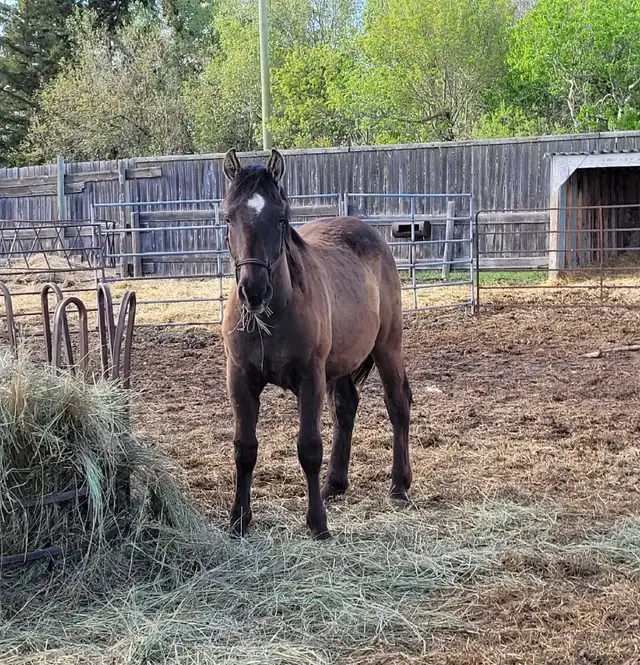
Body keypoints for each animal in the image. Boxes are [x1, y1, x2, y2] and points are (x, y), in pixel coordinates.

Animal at [221, 148, 412, 539]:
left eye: (281, 218)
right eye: (228, 217)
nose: (253, 291)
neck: (274, 317)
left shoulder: (310, 379)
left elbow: (309, 448)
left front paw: (318, 524)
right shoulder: (240, 379)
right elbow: (244, 450)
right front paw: (239, 521)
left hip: (388, 346)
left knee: (398, 404)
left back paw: (399, 487)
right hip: (341, 364)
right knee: (346, 408)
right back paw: (334, 485)